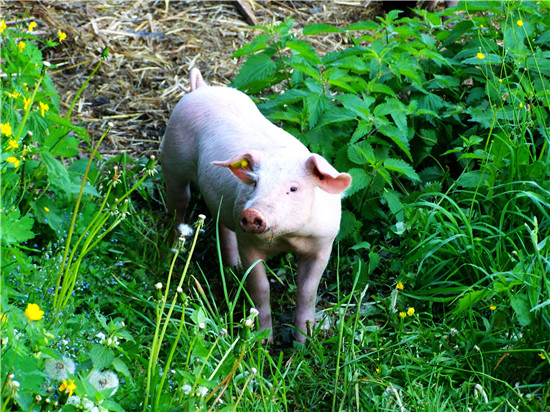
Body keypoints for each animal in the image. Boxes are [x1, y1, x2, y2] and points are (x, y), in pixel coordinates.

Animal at [161, 69, 354, 342]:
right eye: (255, 183)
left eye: (293, 189)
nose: (252, 213)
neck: (288, 238)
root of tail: (201, 88)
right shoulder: (249, 243)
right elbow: (260, 288)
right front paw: (262, 342)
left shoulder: (322, 245)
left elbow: (307, 291)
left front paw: (304, 343)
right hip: (172, 159)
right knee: (178, 205)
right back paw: (173, 253)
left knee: (221, 224)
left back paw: (232, 267)